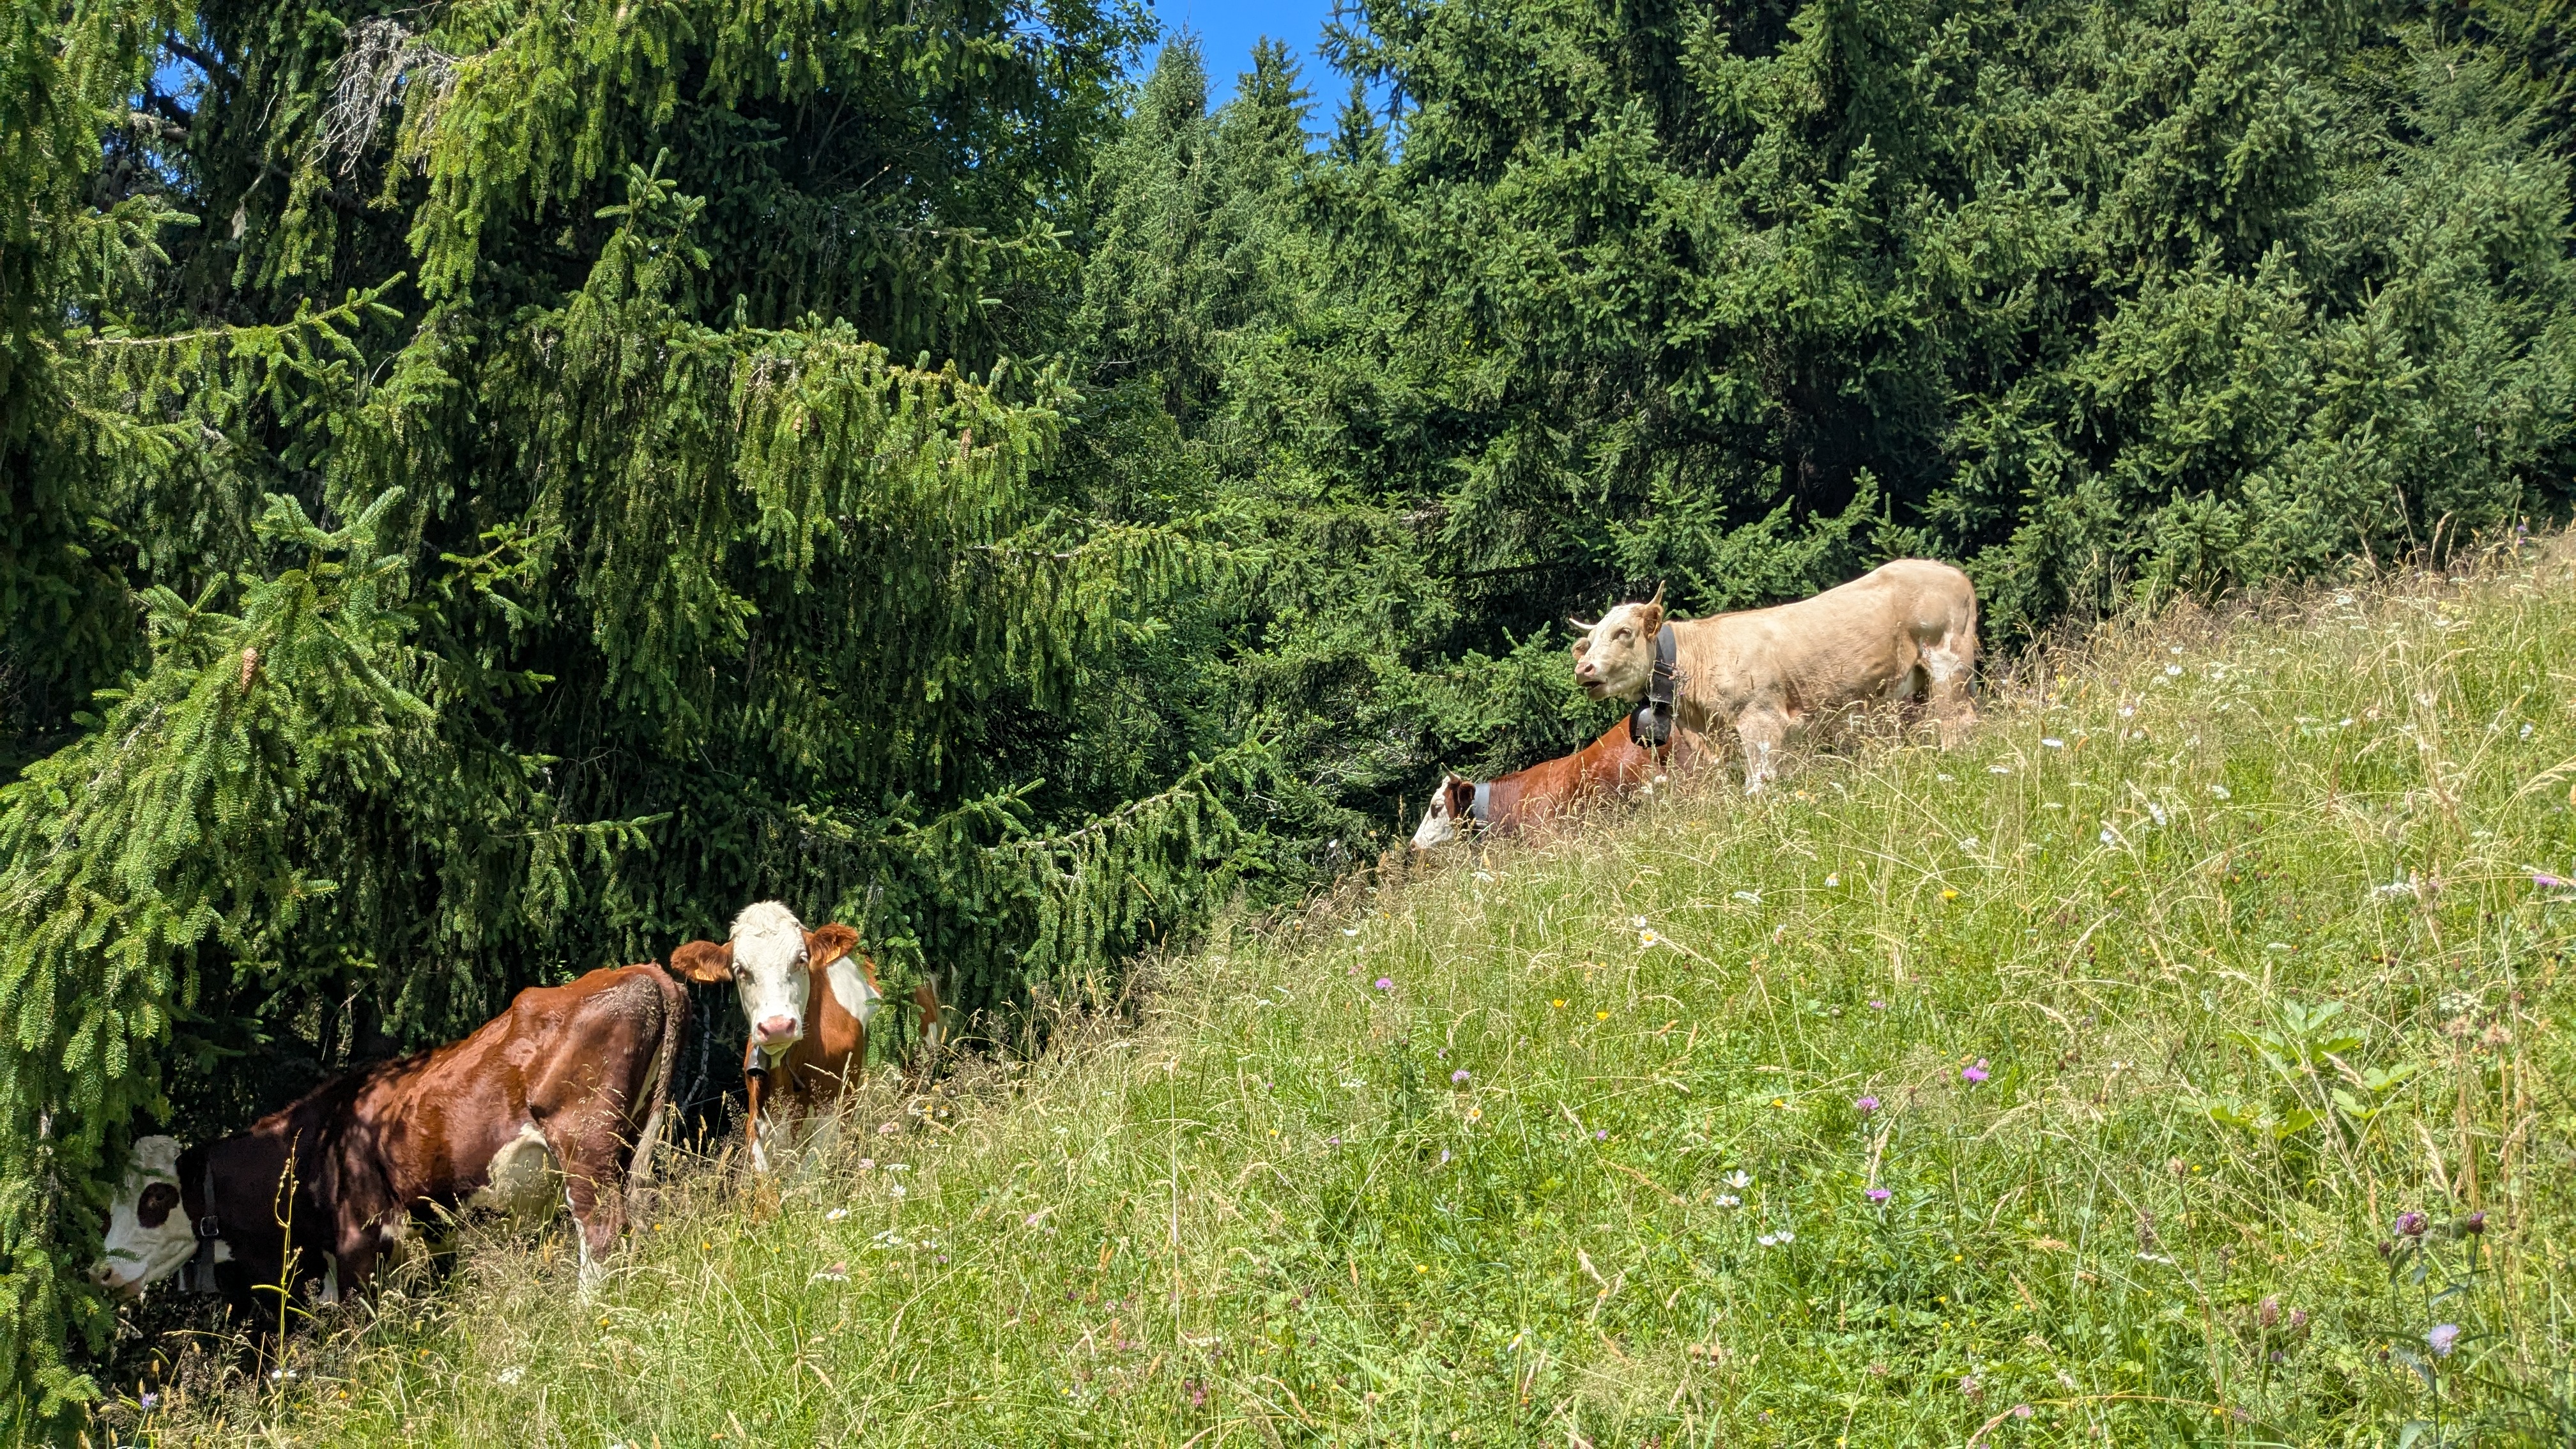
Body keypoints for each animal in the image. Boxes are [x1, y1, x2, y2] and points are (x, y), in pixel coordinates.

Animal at [91, 963, 685, 1313]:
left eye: (157, 1197)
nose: (102, 1271)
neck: (315, 1144)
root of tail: (643, 971)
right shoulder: (432, 1232)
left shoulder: (361, 1241)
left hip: (585, 1147)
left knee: (602, 1232)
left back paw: (582, 1319)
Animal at [667, 900, 944, 1173]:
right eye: (740, 970)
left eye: (801, 960)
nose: (777, 1026)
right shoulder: (758, 1115)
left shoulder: (835, 1113)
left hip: (913, 1089)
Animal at [1568, 561, 1978, 792]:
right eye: (1590, 640)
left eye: (1624, 632)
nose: (1583, 668)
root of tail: (1950, 572)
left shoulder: (1761, 721)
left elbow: (1759, 785)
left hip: (1947, 663)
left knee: (1956, 722)